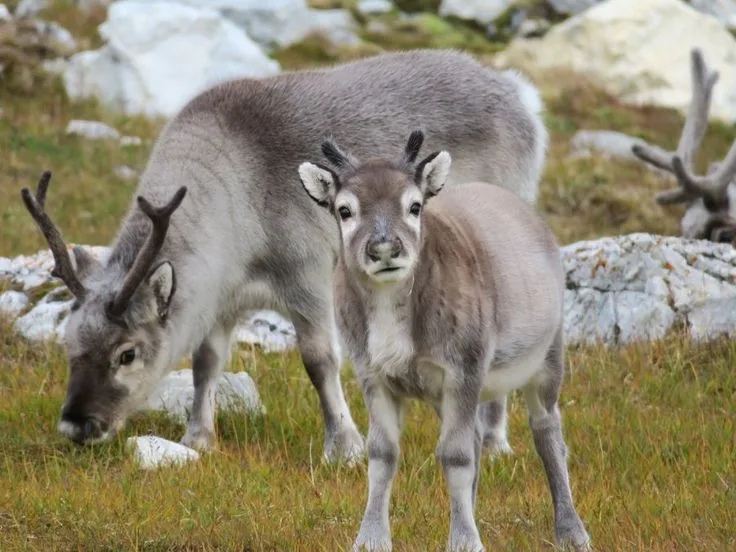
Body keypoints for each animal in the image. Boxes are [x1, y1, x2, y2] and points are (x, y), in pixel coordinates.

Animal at [20, 49, 548, 465]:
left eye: (127, 352)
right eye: (69, 340)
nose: (76, 425)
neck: (237, 201)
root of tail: (521, 96)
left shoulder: (307, 275)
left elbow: (319, 360)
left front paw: (345, 446)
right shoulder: (223, 299)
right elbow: (206, 362)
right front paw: (198, 438)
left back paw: (494, 442)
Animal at [297, 130, 590, 551]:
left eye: (415, 205)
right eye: (344, 210)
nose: (384, 249)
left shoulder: (464, 366)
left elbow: (455, 456)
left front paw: (465, 541)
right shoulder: (371, 373)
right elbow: (382, 453)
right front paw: (370, 538)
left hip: (548, 354)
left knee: (548, 429)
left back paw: (571, 530)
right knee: (478, 436)